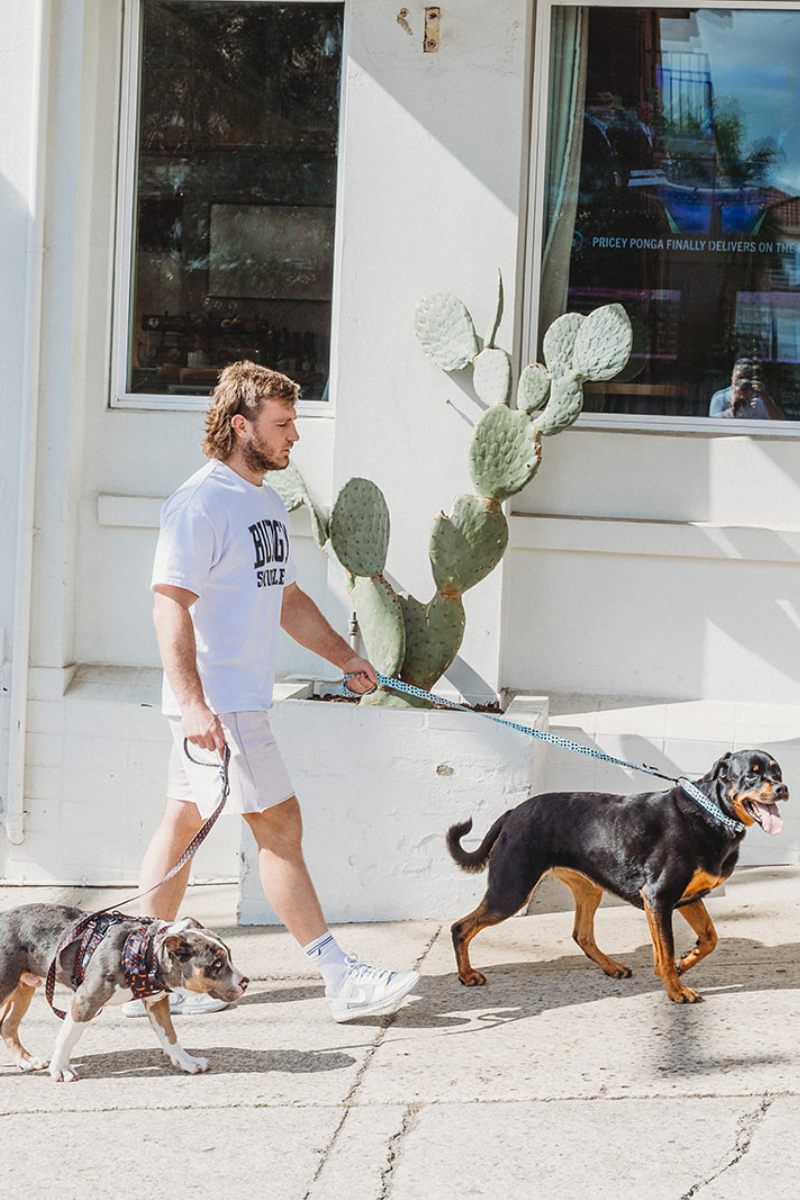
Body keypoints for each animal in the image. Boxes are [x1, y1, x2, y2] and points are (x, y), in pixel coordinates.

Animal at [0, 902, 248, 1084]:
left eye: (229, 955)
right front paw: (60, 1069)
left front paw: (186, 1061)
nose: (245, 982)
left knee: (8, 1025)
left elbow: (169, 1035)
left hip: (23, 988)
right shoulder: (85, 1001)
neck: (146, 952)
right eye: (216, 964)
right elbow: (67, 1036)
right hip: (6, 985)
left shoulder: (157, 1002)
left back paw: (26, 1061)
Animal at [450, 748, 786, 1003]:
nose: (783, 789)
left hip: (589, 889)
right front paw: (676, 990)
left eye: (778, 772)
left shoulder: (688, 897)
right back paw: (466, 975)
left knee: (581, 934)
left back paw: (612, 967)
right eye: (752, 774)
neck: (711, 814)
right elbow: (665, 953)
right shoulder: (658, 898)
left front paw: (684, 963)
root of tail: (512, 813)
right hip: (511, 891)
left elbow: (710, 938)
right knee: (460, 927)